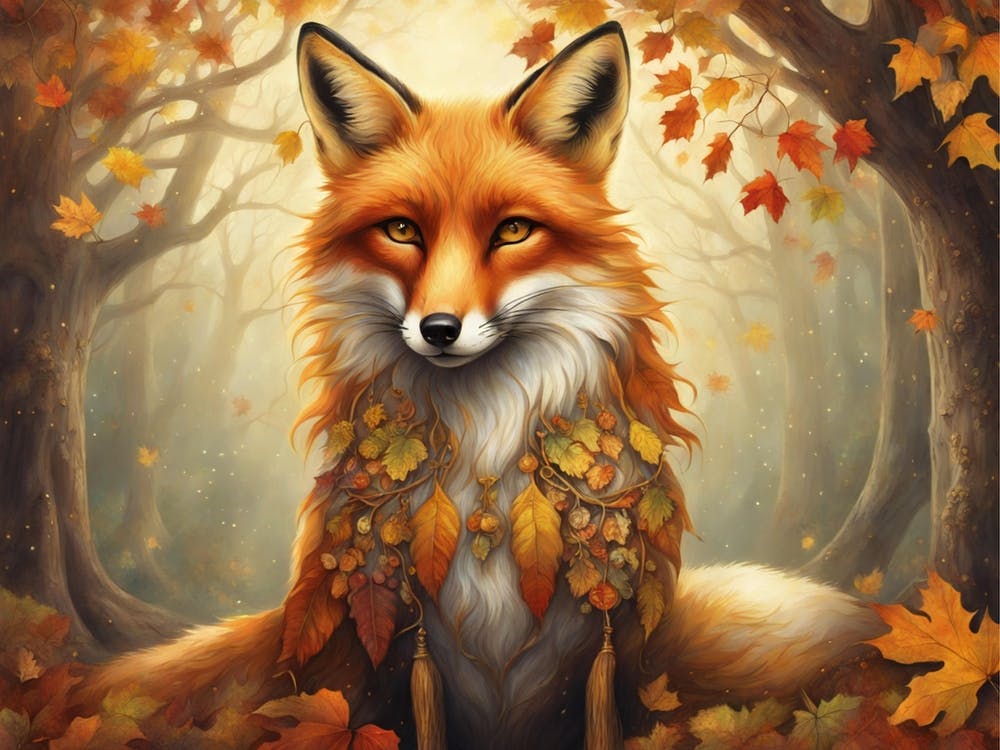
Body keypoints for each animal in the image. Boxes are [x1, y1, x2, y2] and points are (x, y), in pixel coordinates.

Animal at [81, 21, 883, 750]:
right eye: (403, 231)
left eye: (513, 231)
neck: (485, 458)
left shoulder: (619, 653)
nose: (439, 328)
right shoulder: (359, 655)